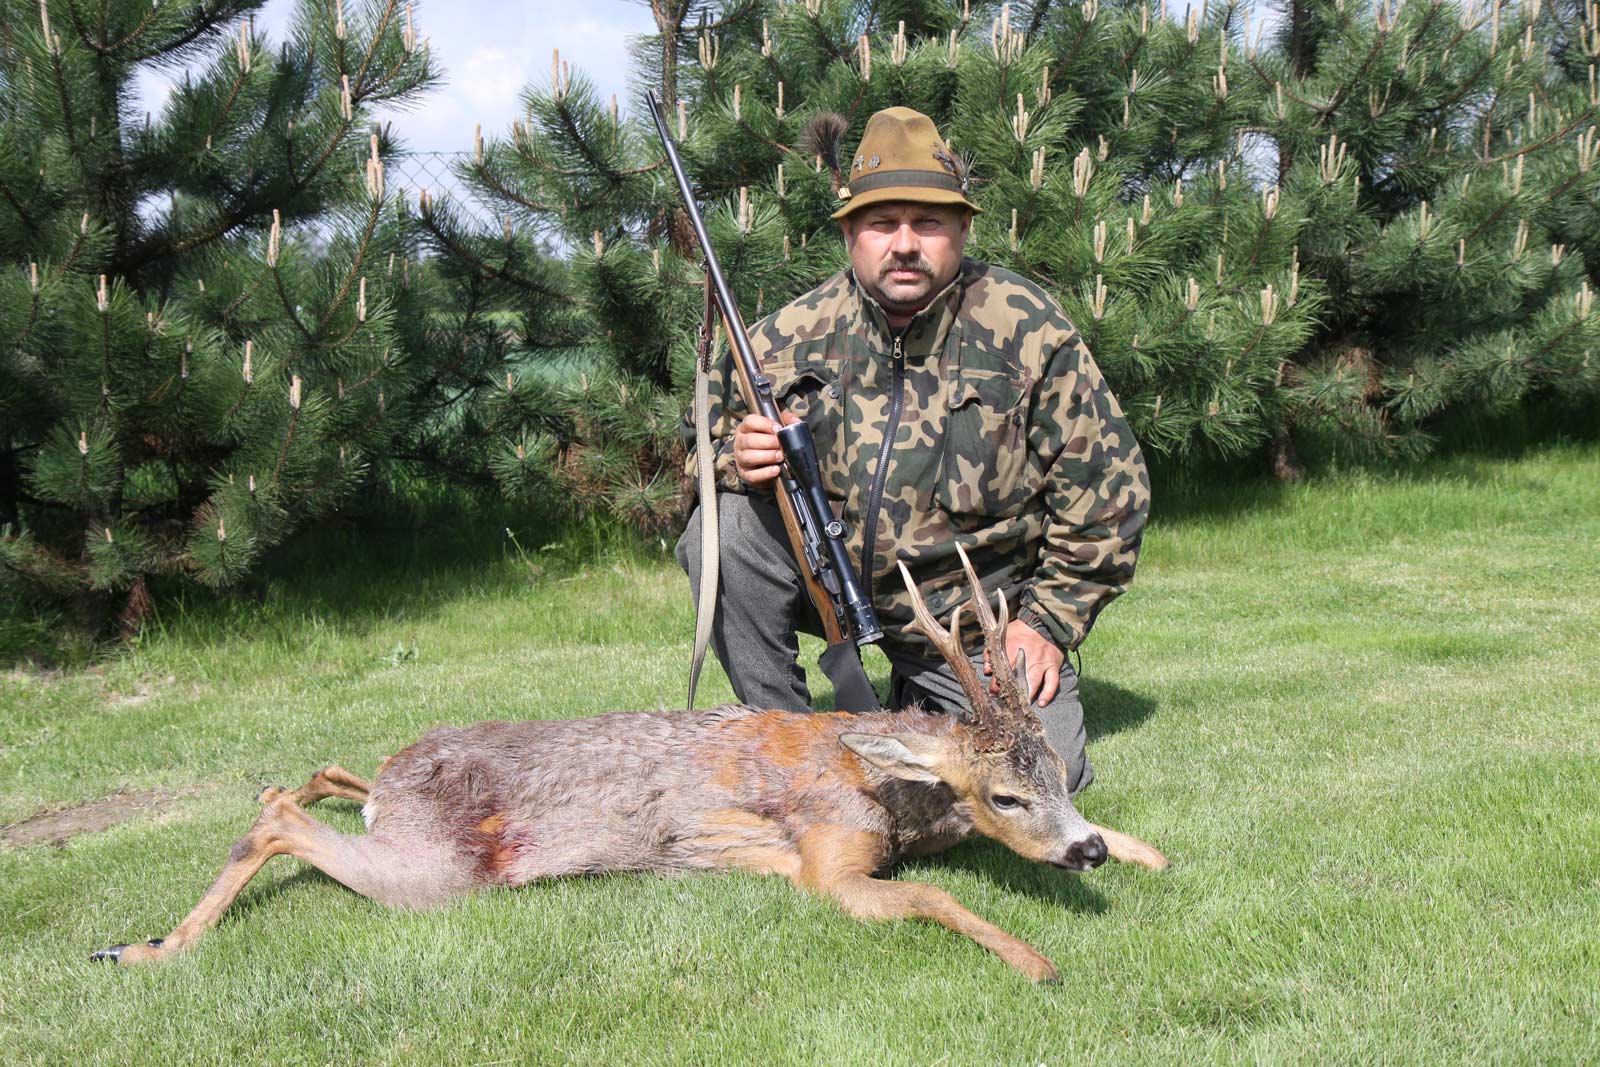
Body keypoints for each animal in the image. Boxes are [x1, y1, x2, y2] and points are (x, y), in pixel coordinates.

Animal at [90, 545, 1167, 981]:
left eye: (1058, 773)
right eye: (1004, 794)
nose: (1081, 855)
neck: (887, 791)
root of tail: (398, 787)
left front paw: (1145, 852)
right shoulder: (828, 867)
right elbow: (936, 898)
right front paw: (1036, 960)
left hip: (395, 814)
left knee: (316, 774)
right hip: (436, 869)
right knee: (276, 809)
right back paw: (144, 947)